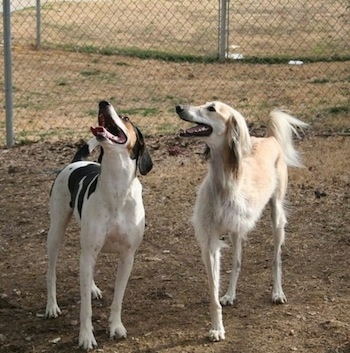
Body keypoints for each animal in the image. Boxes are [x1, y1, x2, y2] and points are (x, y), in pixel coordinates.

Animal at [44, 100, 152, 348]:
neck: (116, 188)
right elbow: (85, 308)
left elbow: (118, 299)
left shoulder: (127, 257)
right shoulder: (90, 251)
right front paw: (86, 337)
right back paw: (52, 306)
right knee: (52, 271)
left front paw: (116, 327)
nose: (104, 102)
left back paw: (92, 287)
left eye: (126, 118)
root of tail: (76, 162)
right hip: (56, 232)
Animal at [176, 101, 308, 340]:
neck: (225, 181)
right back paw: (230, 294)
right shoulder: (211, 242)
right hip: (236, 230)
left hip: (276, 217)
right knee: (237, 262)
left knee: (276, 258)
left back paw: (277, 292)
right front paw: (217, 327)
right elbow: (214, 294)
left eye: (211, 108)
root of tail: (269, 138)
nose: (179, 107)